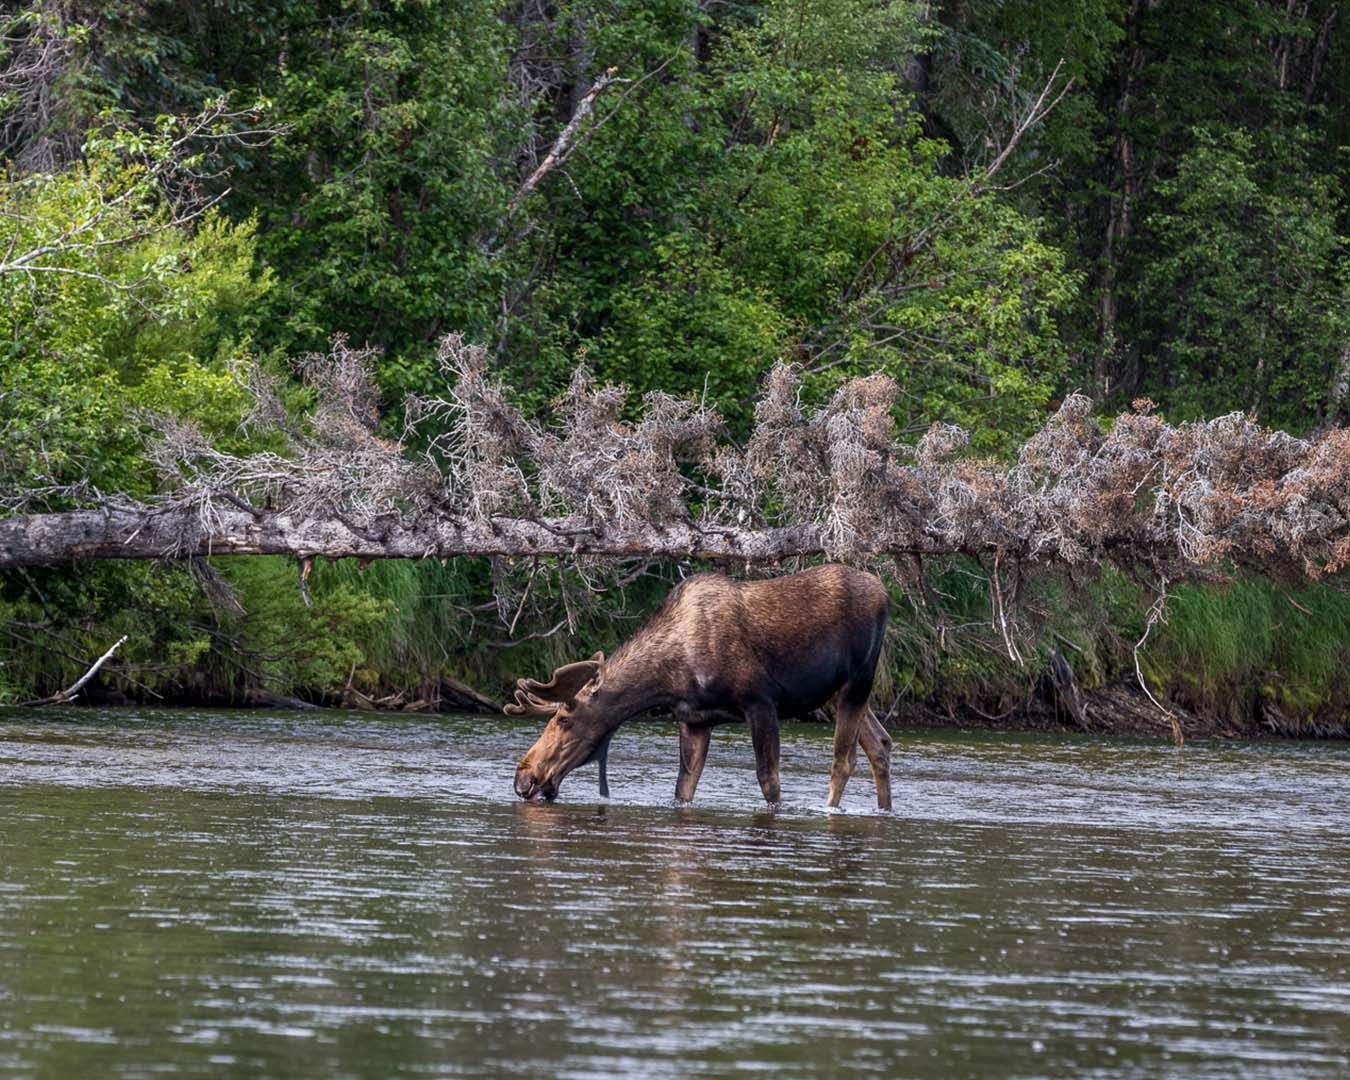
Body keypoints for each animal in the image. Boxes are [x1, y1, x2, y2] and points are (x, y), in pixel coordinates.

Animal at [502, 564, 891, 810]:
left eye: (563, 720)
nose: (523, 778)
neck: (667, 677)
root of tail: (885, 592)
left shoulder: (760, 702)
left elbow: (769, 782)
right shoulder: (694, 720)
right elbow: (682, 789)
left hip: (859, 680)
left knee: (844, 760)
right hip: (842, 691)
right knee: (880, 743)